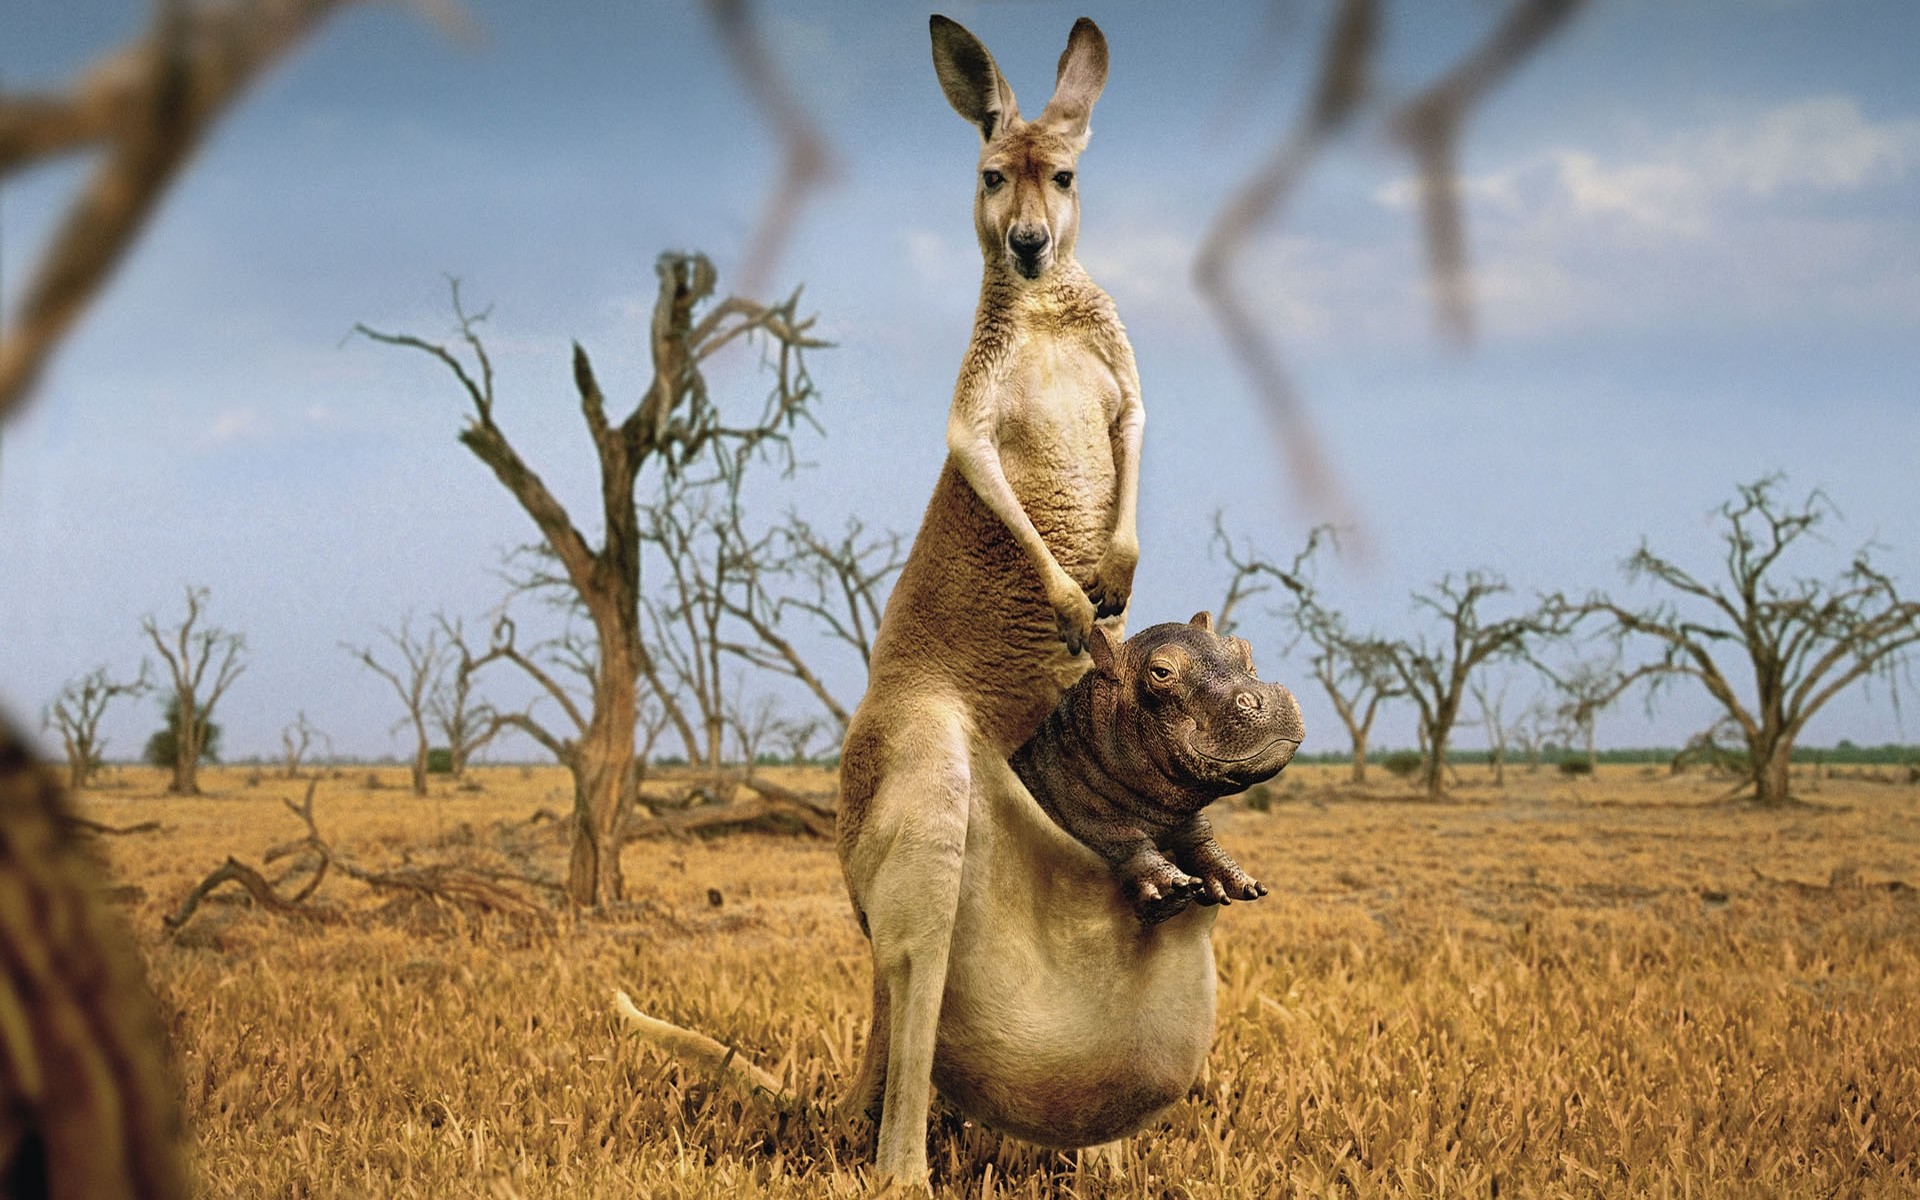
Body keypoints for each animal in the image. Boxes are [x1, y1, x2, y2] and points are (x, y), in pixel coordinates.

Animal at [1006, 614, 1305, 921]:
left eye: (1244, 648)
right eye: (1161, 672)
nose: (1261, 696)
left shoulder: (1181, 814)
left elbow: (1200, 833)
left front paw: (1239, 882)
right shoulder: (1074, 800)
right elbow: (1119, 833)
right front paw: (1173, 889)